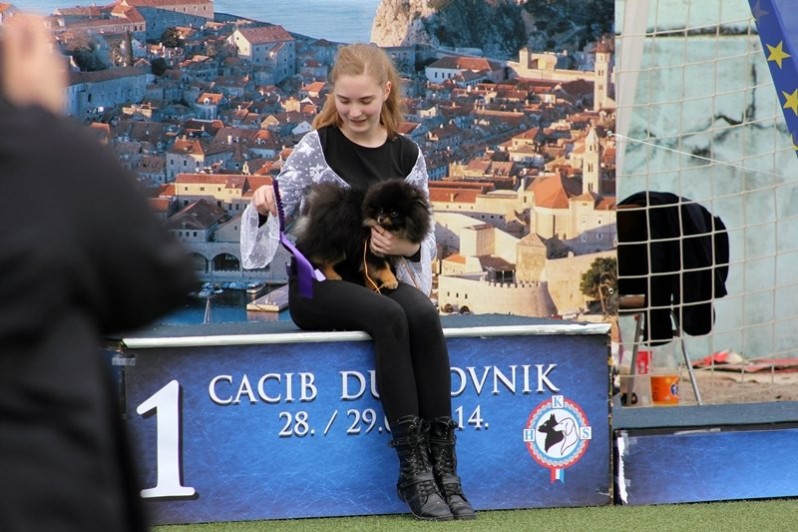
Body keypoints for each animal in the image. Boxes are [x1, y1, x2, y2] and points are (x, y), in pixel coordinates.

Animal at [293, 179, 431, 291]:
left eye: (394, 213)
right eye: (380, 210)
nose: (381, 218)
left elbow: (368, 269)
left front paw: (371, 284)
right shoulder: (371, 248)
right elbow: (383, 267)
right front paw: (390, 280)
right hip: (335, 247)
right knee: (319, 259)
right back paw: (333, 275)